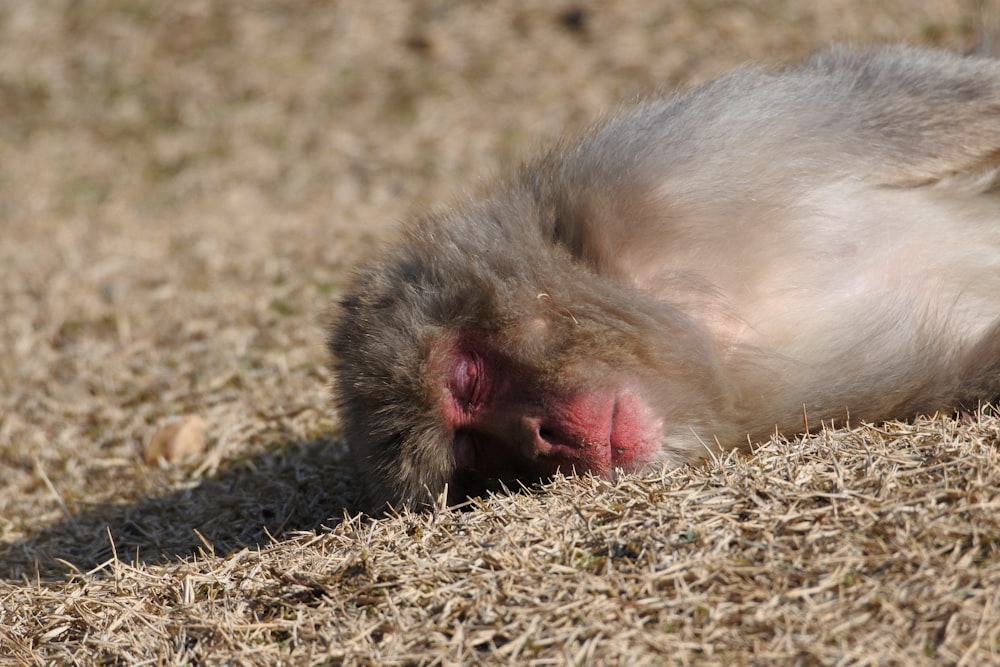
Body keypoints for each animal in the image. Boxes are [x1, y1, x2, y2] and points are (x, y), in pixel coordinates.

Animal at [328, 45, 1000, 512]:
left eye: (468, 378)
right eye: (477, 456)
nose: (544, 440)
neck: (696, 318)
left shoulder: (653, 167)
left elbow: (894, 104)